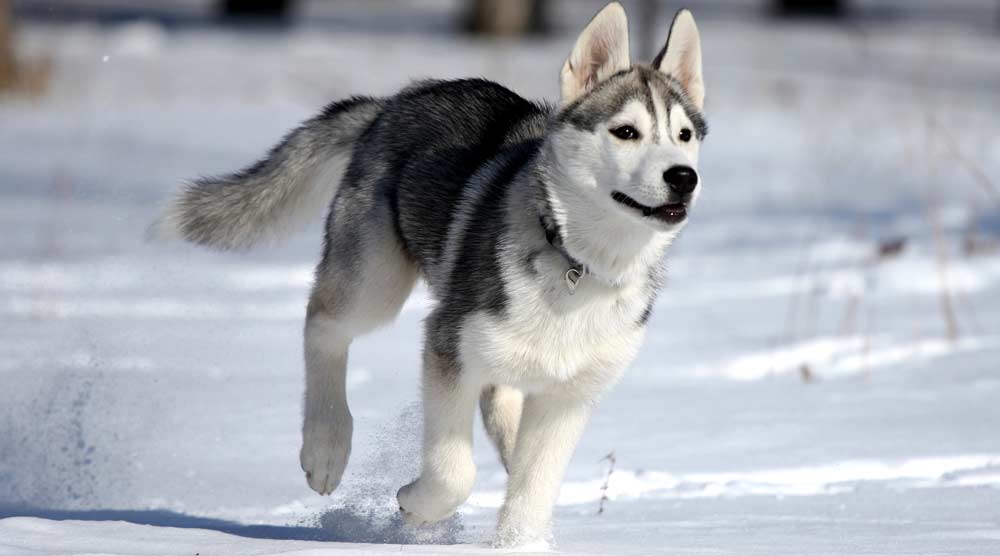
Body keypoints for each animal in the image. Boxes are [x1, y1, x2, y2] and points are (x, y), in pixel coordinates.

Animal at [154, 2, 704, 544]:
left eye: (684, 135)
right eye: (626, 132)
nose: (684, 177)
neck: (577, 262)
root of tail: (398, 100)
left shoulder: (569, 395)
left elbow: (532, 489)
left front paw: (520, 540)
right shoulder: (447, 347)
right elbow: (454, 474)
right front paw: (415, 508)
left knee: (502, 410)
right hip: (375, 282)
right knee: (322, 323)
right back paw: (326, 447)